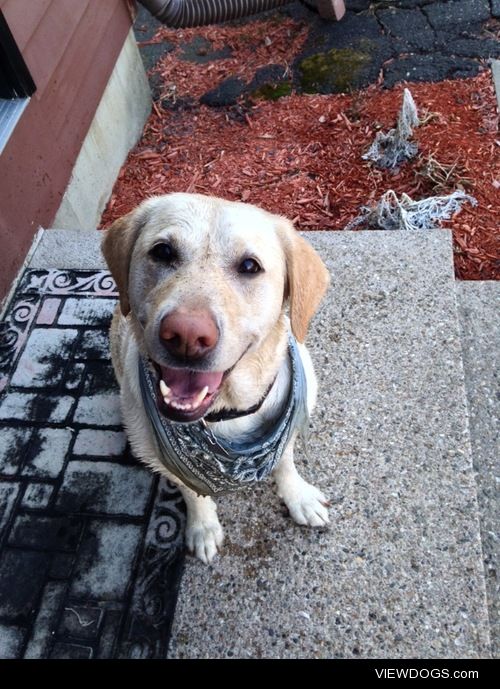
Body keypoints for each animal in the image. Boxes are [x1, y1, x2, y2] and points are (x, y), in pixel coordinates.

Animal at [101, 194, 330, 564]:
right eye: (163, 252)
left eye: (250, 266)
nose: (186, 335)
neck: (227, 414)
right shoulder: (164, 461)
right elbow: (193, 493)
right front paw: (204, 527)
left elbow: (285, 460)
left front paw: (299, 496)